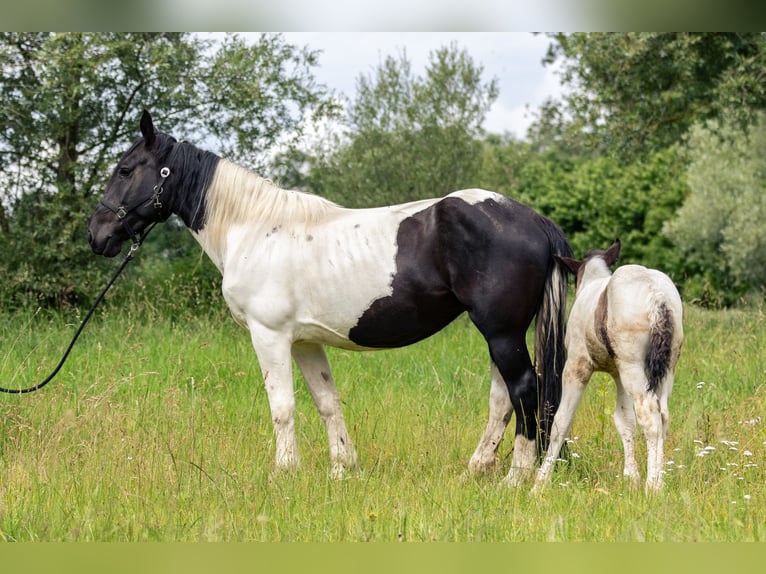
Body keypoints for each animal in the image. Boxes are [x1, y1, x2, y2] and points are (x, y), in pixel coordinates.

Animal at [87, 110, 572, 484]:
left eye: (126, 170)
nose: (97, 235)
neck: (254, 228)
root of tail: (532, 220)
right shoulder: (304, 341)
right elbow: (326, 402)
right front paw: (342, 469)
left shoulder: (269, 336)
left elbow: (282, 406)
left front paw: (284, 472)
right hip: (499, 333)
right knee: (502, 398)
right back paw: (477, 468)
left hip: (501, 331)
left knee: (524, 389)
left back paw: (515, 478)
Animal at [536, 241, 684, 492]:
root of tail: (657, 296)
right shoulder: (618, 374)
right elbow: (624, 420)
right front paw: (631, 478)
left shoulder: (577, 366)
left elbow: (561, 420)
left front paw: (540, 482)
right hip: (664, 370)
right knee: (663, 415)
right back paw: (658, 480)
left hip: (633, 368)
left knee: (650, 415)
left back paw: (653, 486)